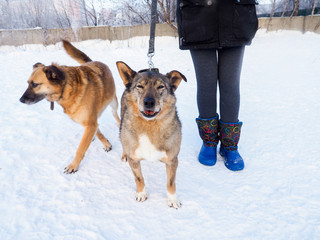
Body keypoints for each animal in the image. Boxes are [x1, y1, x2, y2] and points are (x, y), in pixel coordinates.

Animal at [20, 40, 120, 173]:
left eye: (35, 84)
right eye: (28, 83)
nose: (20, 100)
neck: (66, 88)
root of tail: (92, 61)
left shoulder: (91, 122)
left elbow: (80, 149)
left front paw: (73, 166)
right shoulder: (90, 121)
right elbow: (97, 133)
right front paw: (105, 143)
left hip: (113, 102)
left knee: (115, 113)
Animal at [117, 62, 188, 208]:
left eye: (161, 86)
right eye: (140, 86)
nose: (149, 102)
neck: (149, 125)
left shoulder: (172, 160)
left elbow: (171, 182)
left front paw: (172, 199)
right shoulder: (134, 159)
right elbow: (139, 178)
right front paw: (141, 193)